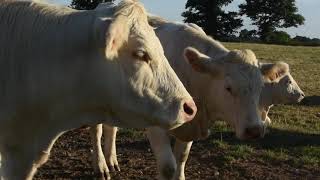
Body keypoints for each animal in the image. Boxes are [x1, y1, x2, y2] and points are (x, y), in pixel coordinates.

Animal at [90, 13, 264, 180]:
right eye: (228, 88)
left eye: (260, 87)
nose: (255, 130)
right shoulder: (156, 126)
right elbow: (167, 167)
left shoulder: (191, 121)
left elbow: (182, 157)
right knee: (96, 132)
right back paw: (101, 167)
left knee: (111, 128)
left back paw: (112, 160)